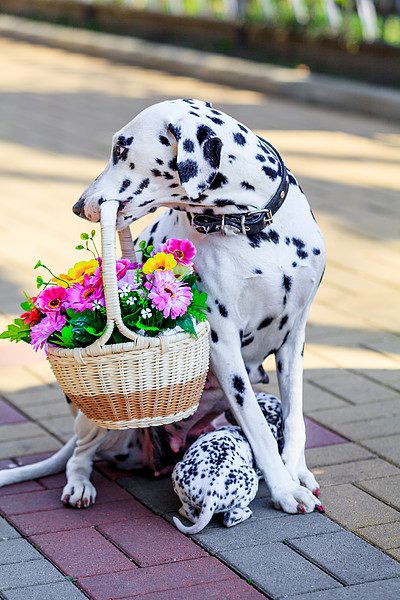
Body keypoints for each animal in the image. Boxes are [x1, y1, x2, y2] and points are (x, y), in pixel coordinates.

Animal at [0, 99, 324, 516]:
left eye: (121, 148)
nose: (77, 206)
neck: (253, 227)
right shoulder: (223, 342)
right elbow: (257, 425)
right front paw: (285, 490)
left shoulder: (293, 337)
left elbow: (294, 420)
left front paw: (296, 473)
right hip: (99, 420)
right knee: (79, 456)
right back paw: (79, 485)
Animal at [173, 394, 282, 536]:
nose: (227, 409)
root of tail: (212, 493)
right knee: (230, 518)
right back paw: (247, 513)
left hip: (179, 474)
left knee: (189, 513)